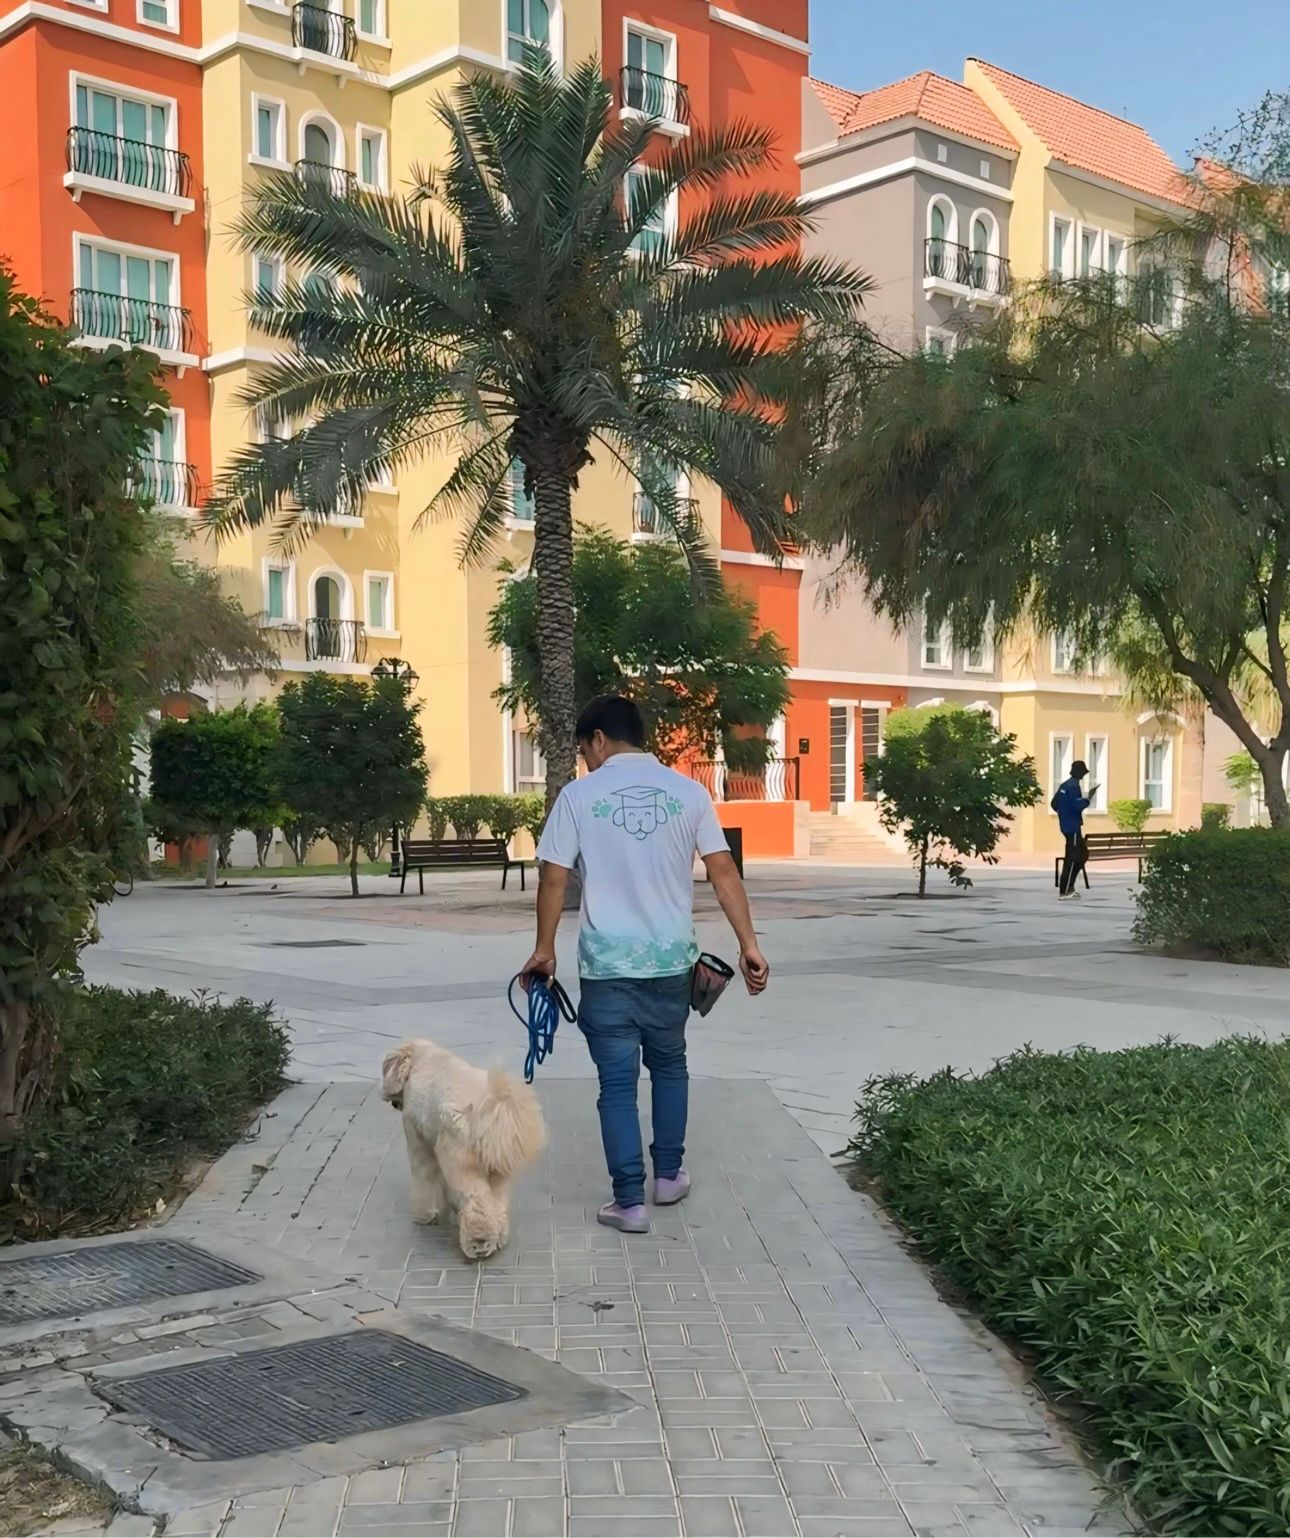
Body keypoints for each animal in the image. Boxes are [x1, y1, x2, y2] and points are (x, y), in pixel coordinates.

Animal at [381, 1039, 547, 1255]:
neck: (421, 1058)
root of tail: (491, 1111)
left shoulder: (418, 1139)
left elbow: (423, 1182)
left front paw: (423, 1216)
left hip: (463, 1163)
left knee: (477, 1202)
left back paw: (478, 1242)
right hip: (495, 1167)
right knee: (497, 1203)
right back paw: (499, 1237)